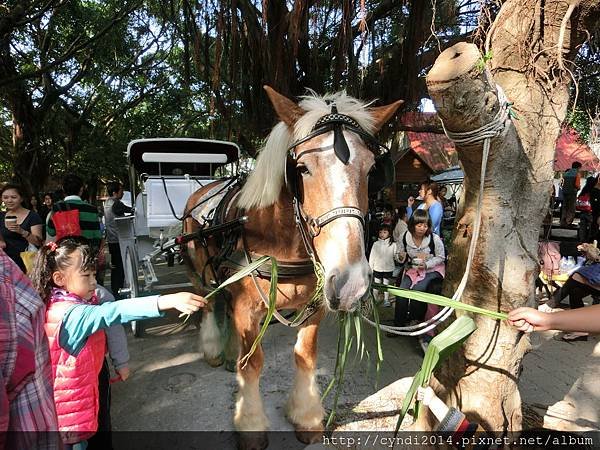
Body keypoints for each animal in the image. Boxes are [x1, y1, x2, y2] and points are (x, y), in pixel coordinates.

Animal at [180, 86, 400, 448]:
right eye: (303, 169)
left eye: (371, 171)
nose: (351, 282)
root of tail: (205, 188)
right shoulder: (247, 307)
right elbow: (251, 363)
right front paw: (251, 424)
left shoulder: (316, 306)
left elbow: (305, 355)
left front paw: (306, 416)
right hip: (203, 270)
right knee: (210, 302)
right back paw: (214, 350)